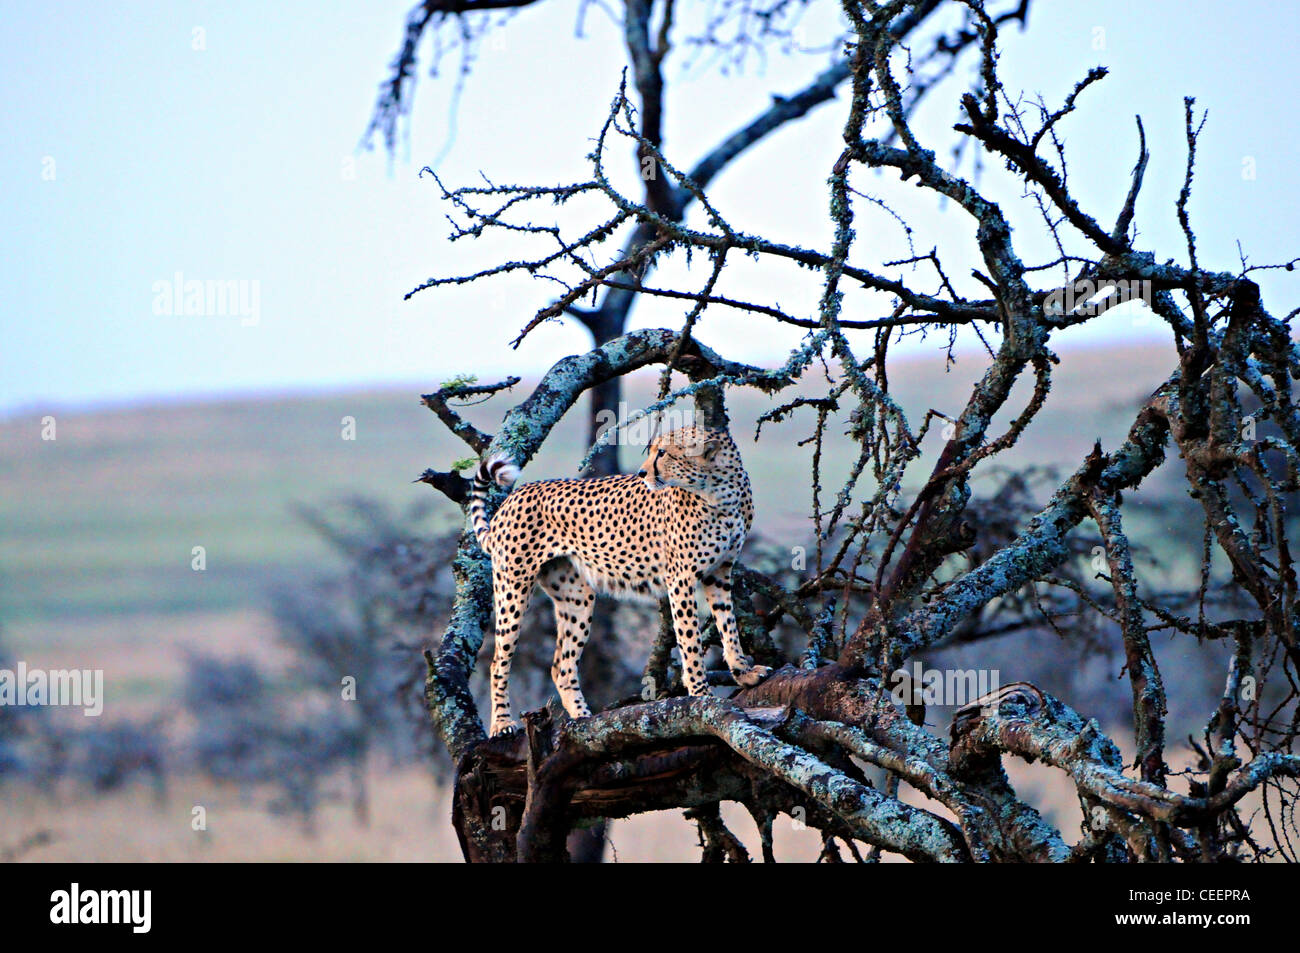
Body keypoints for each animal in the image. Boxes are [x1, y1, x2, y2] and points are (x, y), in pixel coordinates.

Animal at [470, 423, 764, 738]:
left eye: (663, 452)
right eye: (652, 450)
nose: (641, 473)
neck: (719, 491)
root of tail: (514, 496)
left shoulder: (719, 572)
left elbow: (728, 625)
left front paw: (744, 673)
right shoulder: (681, 580)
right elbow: (690, 641)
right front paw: (700, 692)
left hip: (576, 598)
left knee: (561, 666)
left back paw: (583, 718)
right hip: (513, 588)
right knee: (498, 662)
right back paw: (502, 723)